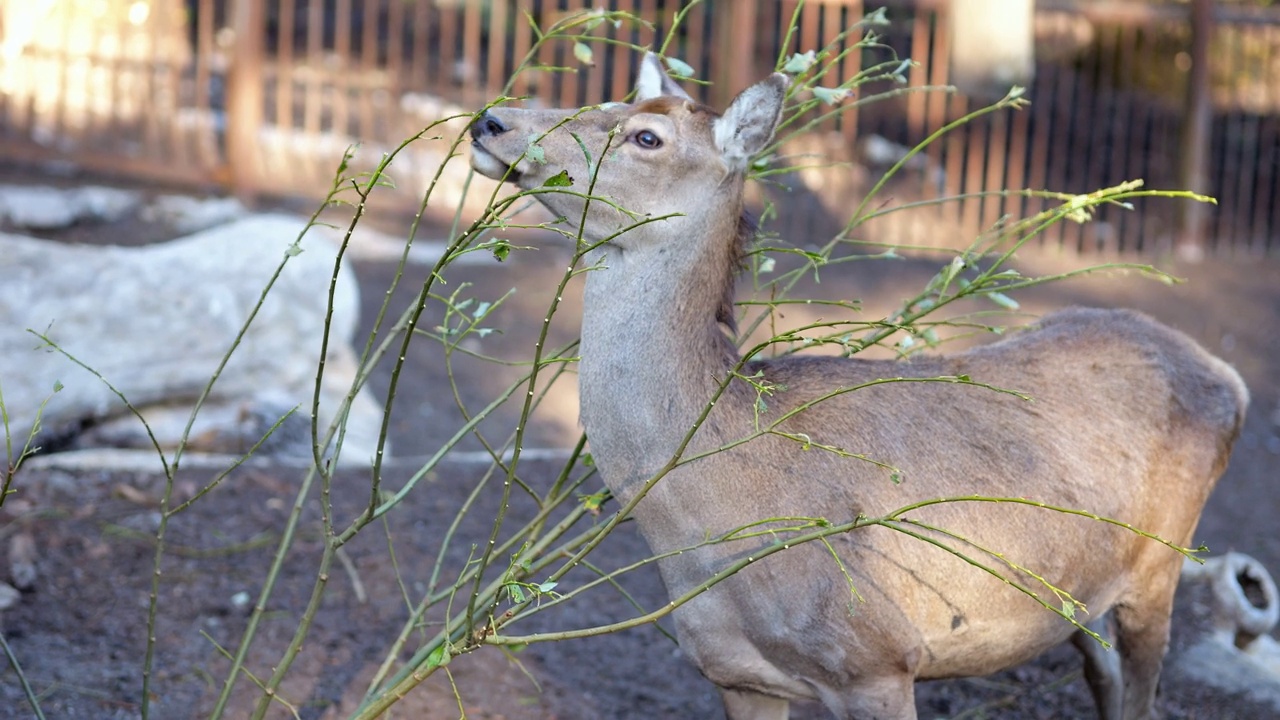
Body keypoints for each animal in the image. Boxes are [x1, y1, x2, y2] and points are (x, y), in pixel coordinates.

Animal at [468, 54, 1239, 717]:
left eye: (646, 136)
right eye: (609, 101)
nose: (490, 120)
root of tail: (1229, 378)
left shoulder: (879, 660)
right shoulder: (734, 674)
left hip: (1161, 564)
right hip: (1080, 598)